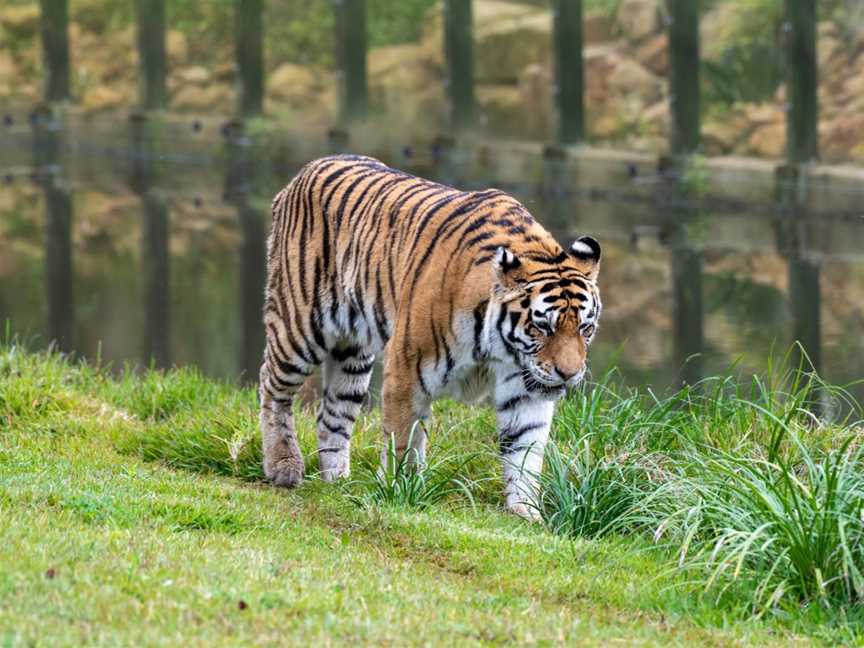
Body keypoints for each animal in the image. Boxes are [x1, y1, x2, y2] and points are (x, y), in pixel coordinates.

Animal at [260, 153, 604, 516]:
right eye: (542, 327)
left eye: (585, 328)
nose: (568, 374)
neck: (500, 348)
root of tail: (306, 170)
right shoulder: (406, 368)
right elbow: (402, 440)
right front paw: (397, 493)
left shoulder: (525, 388)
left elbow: (525, 450)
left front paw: (525, 512)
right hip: (300, 325)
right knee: (272, 386)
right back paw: (283, 465)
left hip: (354, 353)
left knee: (332, 415)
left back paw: (337, 481)